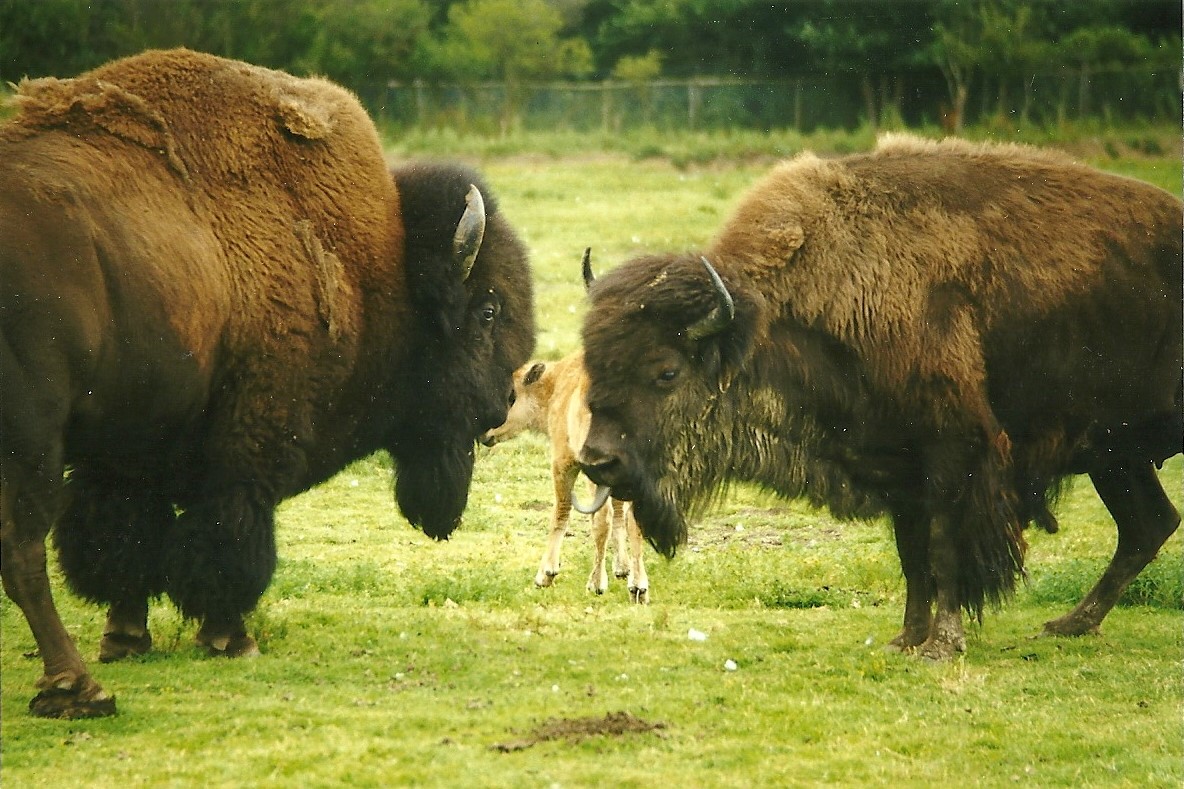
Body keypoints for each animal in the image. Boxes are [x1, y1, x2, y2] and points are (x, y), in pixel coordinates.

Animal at [1, 49, 534, 718]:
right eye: (488, 311)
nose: (503, 403)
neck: (380, 272)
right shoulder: (249, 438)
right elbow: (228, 532)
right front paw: (231, 638)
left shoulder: (129, 450)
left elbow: (127, 539)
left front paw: (126, 637)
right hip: (31, 440)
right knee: (22, 549)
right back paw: (77, 688)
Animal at [577, 134, 1181, 660]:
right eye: (593, 362)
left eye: (666, 372)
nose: (596, 460)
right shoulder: (899, 469)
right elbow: (913, 557)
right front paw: (906, 638)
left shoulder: (953, 457)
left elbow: (944, 551)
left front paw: (941, 645)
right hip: (1115, 455)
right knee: (1148, 525)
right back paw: (1070, 624)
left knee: (1145, 526)